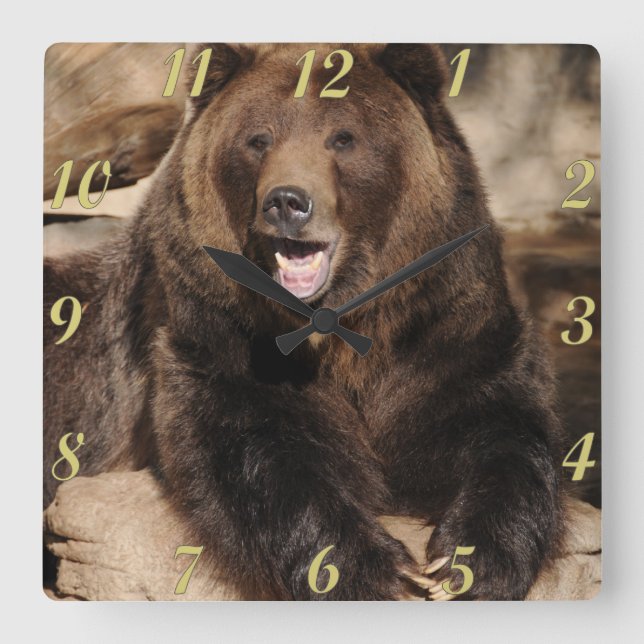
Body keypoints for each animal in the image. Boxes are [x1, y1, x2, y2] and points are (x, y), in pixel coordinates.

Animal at [44, 43, 565, 600]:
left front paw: (468, 564)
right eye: (258, 138)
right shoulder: (217, 334)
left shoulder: (446, 326)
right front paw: (373, 569)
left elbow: (500, 425)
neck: (342, 325)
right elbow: (262, 448)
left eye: (344, 137)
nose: (287, 201)